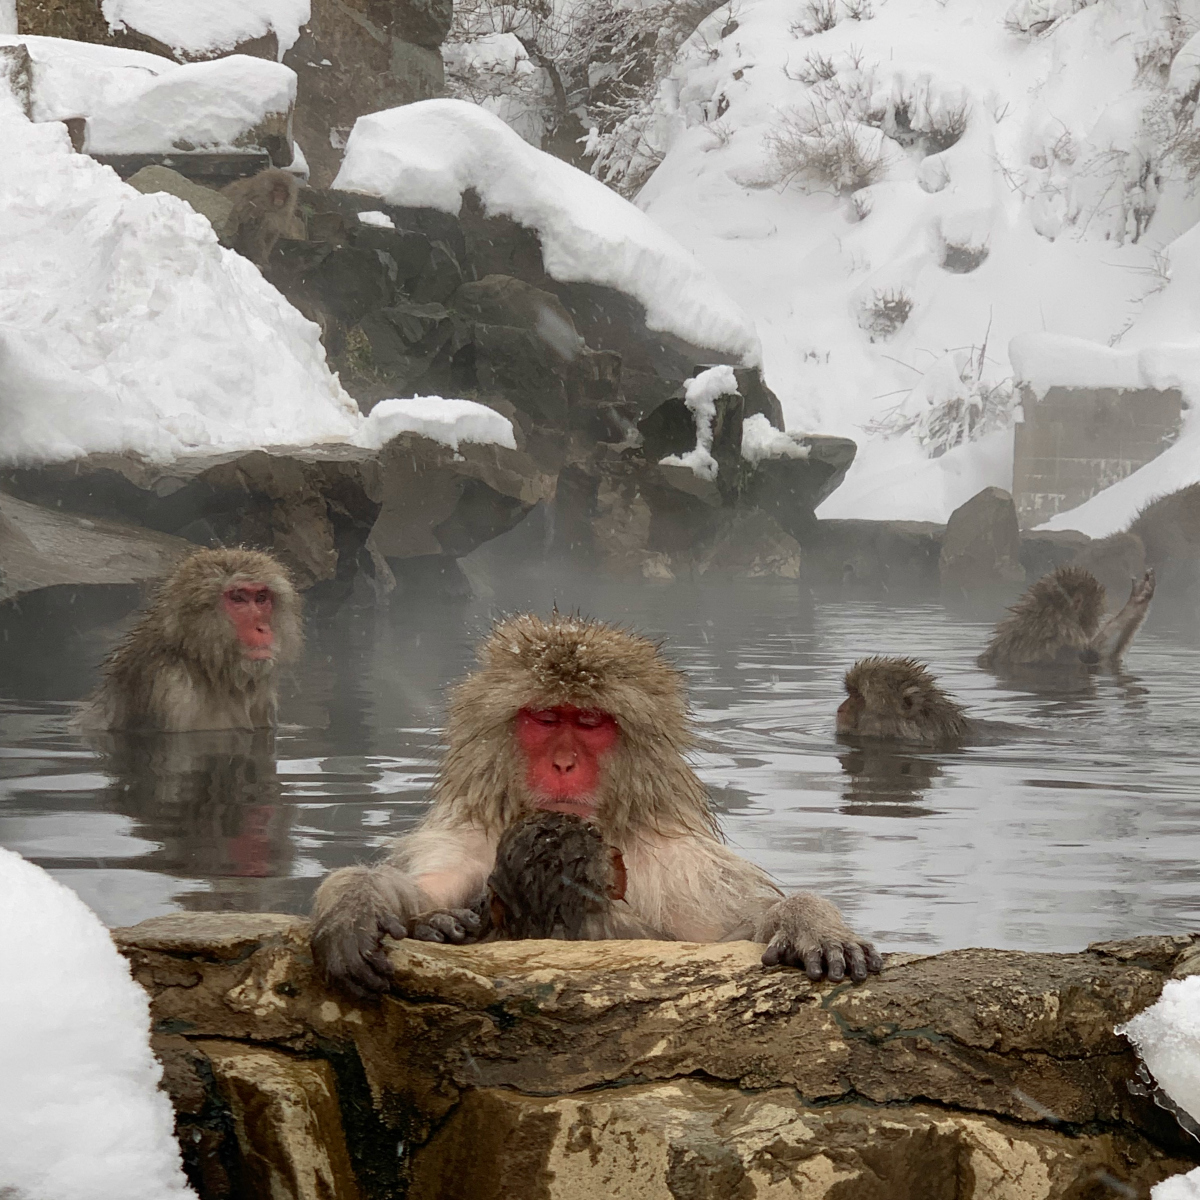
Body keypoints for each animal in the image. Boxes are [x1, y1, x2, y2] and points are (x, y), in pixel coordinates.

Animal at [310, 613, 882, 996]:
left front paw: (807, 920)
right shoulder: (465, 844)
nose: (563, 763)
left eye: (588, 722)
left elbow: (729, 927)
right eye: (545, 719)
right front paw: (357, 901)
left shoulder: (681, 864)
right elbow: (425, 887)